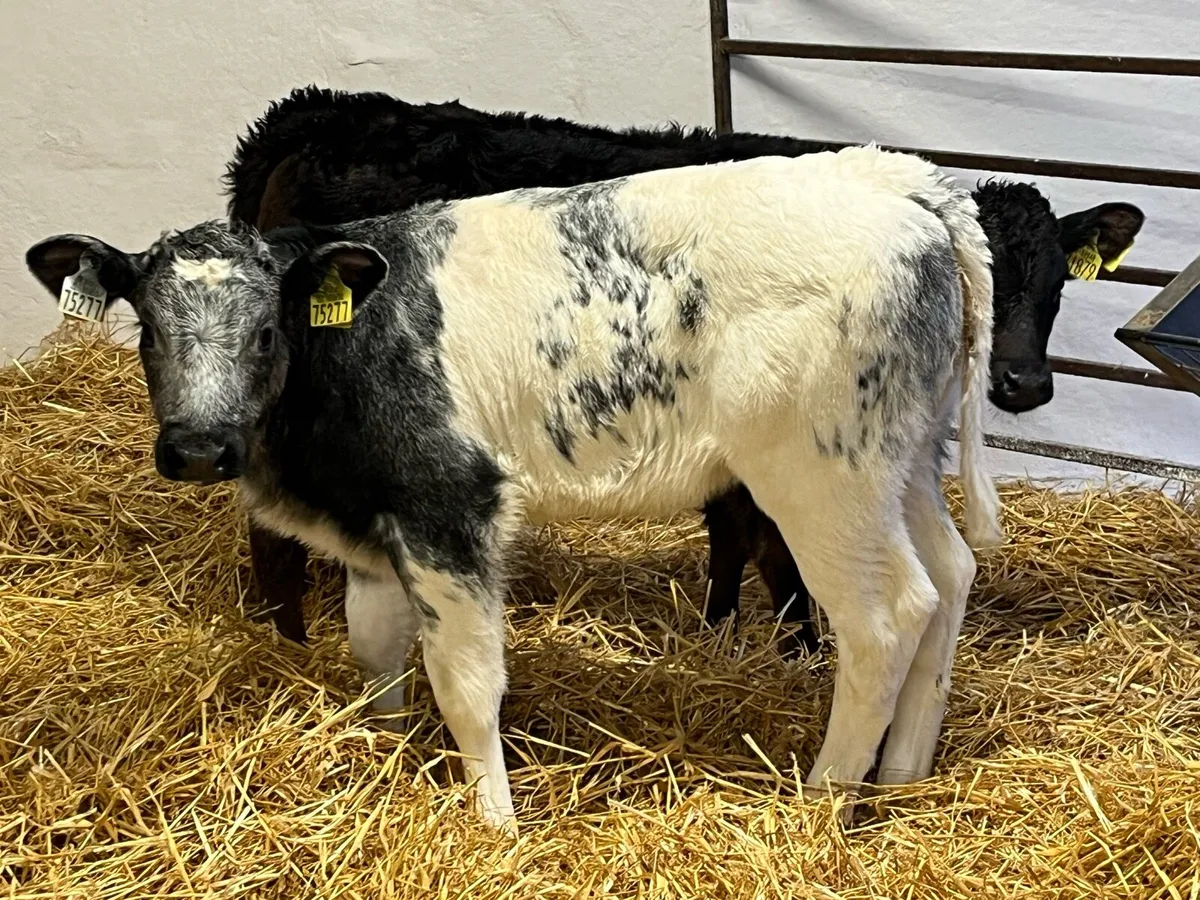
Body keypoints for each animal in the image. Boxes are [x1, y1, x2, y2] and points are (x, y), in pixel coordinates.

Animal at [28, 146, 1000, 831]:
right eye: (148, 330)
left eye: (267, 330)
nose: (198, 449)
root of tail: (901, 183)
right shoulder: (379, 522)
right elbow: (376, 650)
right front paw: (384, 754)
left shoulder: (449, 506)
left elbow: (465, 682)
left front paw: (493, 823)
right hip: (903, 459)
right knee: (951, 574)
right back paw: (904, 776)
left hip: (824, 474)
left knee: (888, 617)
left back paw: (824, 803)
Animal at [223, 86, 1145, 656]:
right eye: (984, 279)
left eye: (1058, 283)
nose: (1025, 384)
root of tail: (313, 116)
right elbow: (770, 543)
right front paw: (801, 643)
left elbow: (733, 532)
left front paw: (723, 626)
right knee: (269, 530)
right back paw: (287, 645)